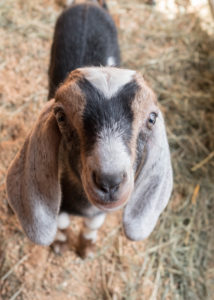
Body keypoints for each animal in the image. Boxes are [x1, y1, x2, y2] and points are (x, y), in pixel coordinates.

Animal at [5, 1, 173, 256]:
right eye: (61, 116)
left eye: (152, 118)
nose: (109, 181)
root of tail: (86, 4)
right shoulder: (62, 204)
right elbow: (61, 223)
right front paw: (61, 244)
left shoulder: (99, 211)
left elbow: (93, 224)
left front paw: (87, 248)